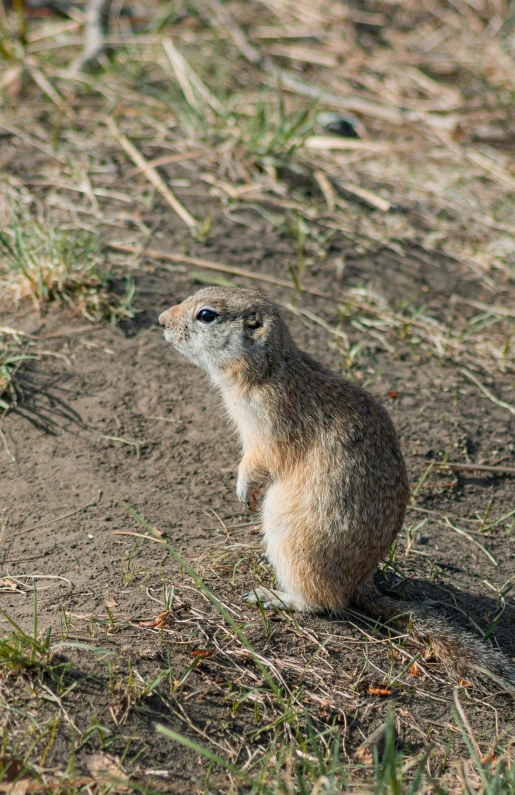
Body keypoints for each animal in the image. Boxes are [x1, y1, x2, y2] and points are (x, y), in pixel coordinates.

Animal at [160, 290, 515, 692]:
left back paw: (271, 596)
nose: (161, 320)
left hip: (292, 545)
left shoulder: (269, 425)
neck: (269, 369)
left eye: (206, 315)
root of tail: (361, 582)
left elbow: (259, 460)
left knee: (321, 603)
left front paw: (244, 491)